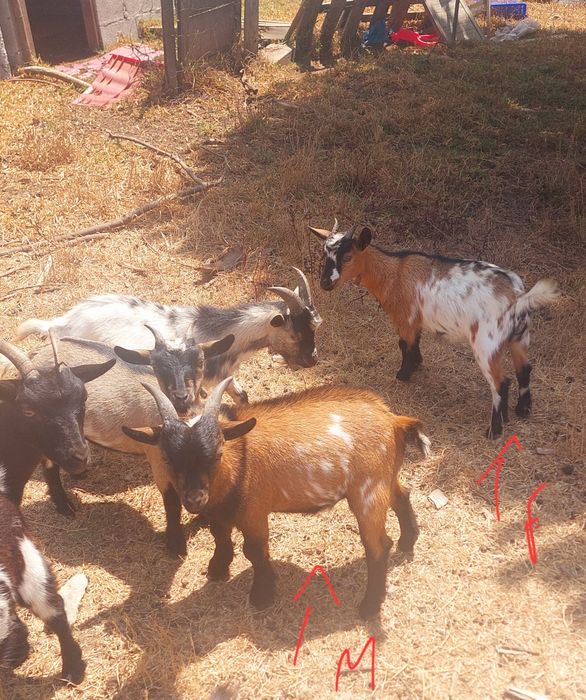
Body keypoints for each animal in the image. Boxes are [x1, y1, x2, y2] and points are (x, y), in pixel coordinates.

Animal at [16, 268, 322, 405]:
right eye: (295, 334)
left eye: (315, 326)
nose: (313, 360)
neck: (217, 331)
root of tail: (62, 322)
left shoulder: (225, 376)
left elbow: (242, 396)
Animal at [123, 378, 431, 619]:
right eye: (166, 458)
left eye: (217, 453)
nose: (194, 499)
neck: (238, 461)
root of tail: (393, 419)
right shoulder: (220, 512)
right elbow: (220, 537)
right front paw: (218, 569)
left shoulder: (254, 511)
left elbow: (255, 551)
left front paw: (262, 595)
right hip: (385, 476)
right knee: (402, 494)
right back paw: (408, 541)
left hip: (367, 490)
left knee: (377, 546)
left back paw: (368, 607)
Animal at [310, 222, 560, 438]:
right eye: (324, 255)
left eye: (348, 257)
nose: (325, 283)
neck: (393, 272)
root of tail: (517, 296)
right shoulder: (417, 321)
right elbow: (415, 344)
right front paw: (417, 365)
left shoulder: (406, 318)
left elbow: (405, 345)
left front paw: (403, 374)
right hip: (520, 336)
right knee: (524, 369)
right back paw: (521, 411)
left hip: (487, 343)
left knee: (501, 382)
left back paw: (494, 431)